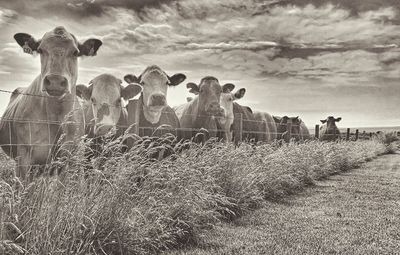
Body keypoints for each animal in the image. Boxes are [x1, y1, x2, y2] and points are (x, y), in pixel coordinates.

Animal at [0, 26, 103, 181]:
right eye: (41, 50)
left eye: (75, 52)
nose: (55, 80)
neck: (56, 117)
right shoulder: (23, 157)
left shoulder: (71, 157)